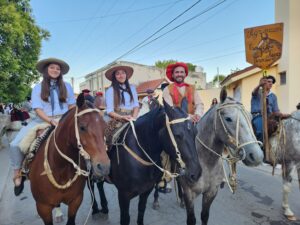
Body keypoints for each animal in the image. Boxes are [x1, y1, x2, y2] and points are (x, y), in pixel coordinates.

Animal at [27, 93, 110, 225]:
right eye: (82, 127)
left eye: (105, 127)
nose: (104, 166)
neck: (60, 167)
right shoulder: (43, 207)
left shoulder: (75, 201)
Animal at [179, 89, 264, 224]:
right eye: (228, 118)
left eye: (250, 117)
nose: (257, 156)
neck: (205, 163)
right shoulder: (189, 193)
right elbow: (191, 219)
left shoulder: (212, 192)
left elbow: (204, 216)